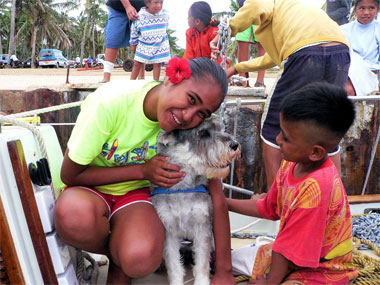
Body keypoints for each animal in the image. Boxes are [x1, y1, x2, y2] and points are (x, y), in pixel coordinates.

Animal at [151, 116, 240, 282]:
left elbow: (202, 263)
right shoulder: (169, 232)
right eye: (203, 133)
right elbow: (174, 265)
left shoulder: (202, 227)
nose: (234, 144)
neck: (183, 188)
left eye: (221, 128)